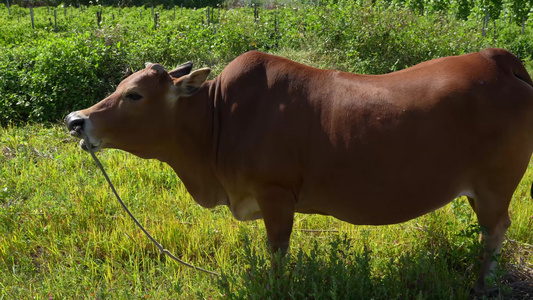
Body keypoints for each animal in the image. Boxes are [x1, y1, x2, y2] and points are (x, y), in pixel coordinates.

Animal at [65, 48, 532, 288]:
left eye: (135, 95)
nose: (75, 120)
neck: (218, 117)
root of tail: (499, 59)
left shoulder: (275, 196)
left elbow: (277, 253)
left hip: (494, 187)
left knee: (495, 232)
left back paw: (481, 284)